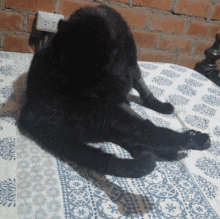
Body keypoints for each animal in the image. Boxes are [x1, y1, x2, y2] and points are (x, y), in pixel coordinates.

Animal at [16, 5, 210, 178]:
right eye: (66, 66)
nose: (71, 86)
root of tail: (30, 114)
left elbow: (141, 89)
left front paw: (159, 106)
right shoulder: (122, 78)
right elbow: (141, 88)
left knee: (134, 134)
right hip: (106, 114)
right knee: (148, 131)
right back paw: (195, 140)